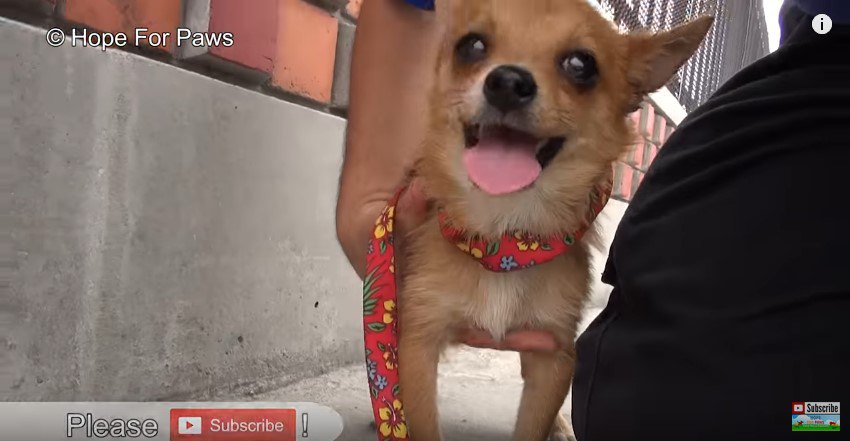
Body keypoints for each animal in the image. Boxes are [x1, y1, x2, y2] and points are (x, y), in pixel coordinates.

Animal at [396, 1, 708, 438]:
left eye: (581, 64)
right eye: (471, 46)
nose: (508, 82)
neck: (505, 237)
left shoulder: (554, 355)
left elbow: (533, 425)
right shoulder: (417, 342)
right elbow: (421, 422)